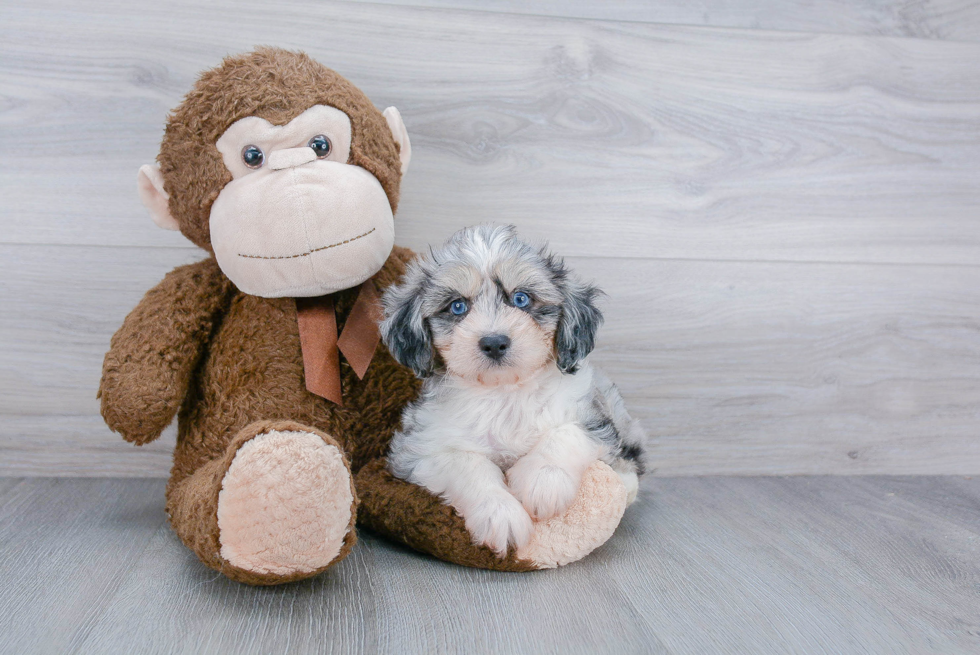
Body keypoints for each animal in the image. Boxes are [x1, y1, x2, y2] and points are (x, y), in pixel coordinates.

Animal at [378, 227, 648, 560]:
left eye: (521, 298)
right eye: (457, 306)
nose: (494, 342)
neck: (505, 394)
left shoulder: (591, 416)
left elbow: (565, 434)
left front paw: (544, 481)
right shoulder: (421, 450)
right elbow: (467, 465)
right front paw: (500, 513)